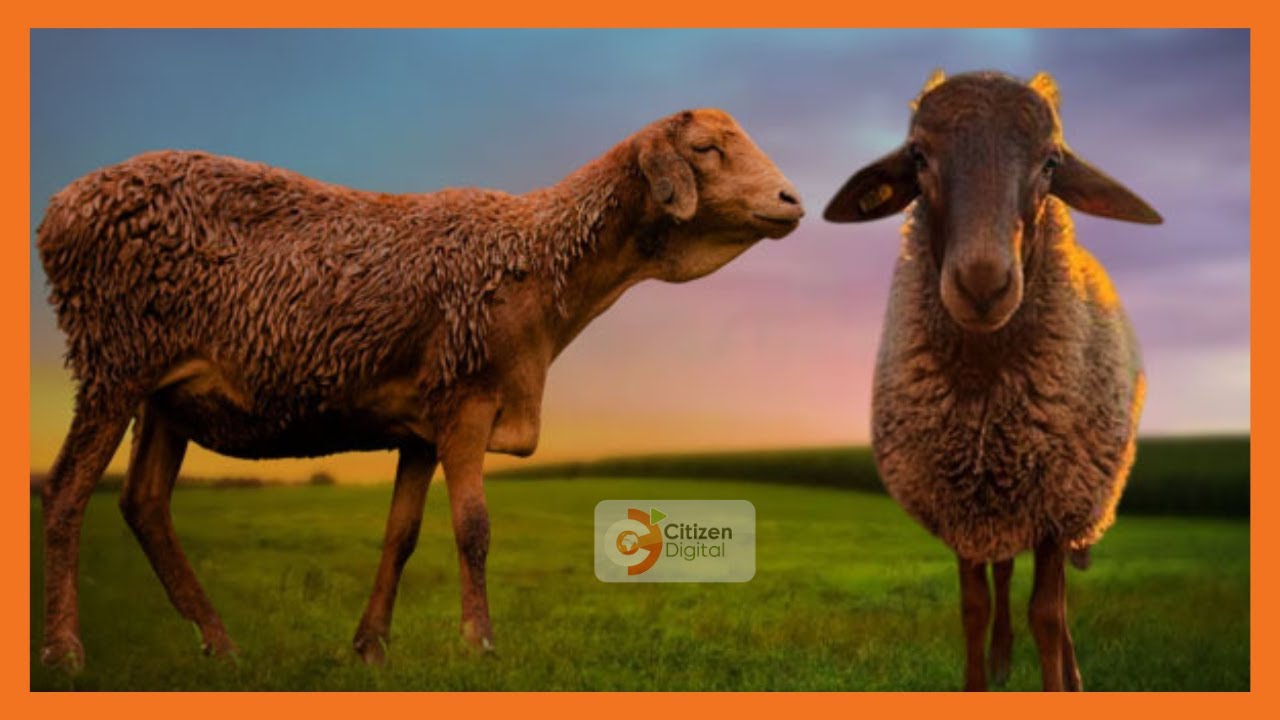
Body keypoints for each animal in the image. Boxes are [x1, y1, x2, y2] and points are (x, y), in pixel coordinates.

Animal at [36, 108, 804, 672]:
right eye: (705, 147)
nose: (791, 200)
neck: (545, 265)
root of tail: (60, 207)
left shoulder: (420, 425)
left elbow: (401, 534)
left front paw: (371, 648)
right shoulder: (467, 397)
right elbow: (473, 527)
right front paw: (480, 644)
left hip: (166, 393)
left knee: (143, 504)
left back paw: (220, 646)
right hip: (114, 357)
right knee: (68, 490)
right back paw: (66, 651)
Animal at [824, 71, 1161, 691]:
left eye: (1051, 163)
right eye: (918, 156)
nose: (982, 283)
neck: (985, 396)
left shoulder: (1057, 499)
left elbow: (1047, 615)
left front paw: (1059, 683)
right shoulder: (961, 502)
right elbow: (974, 608)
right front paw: (982, 677)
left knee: (1057, 600)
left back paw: (1074, 676)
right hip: (1001, 503)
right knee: (1003, 573)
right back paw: (1004, 661)